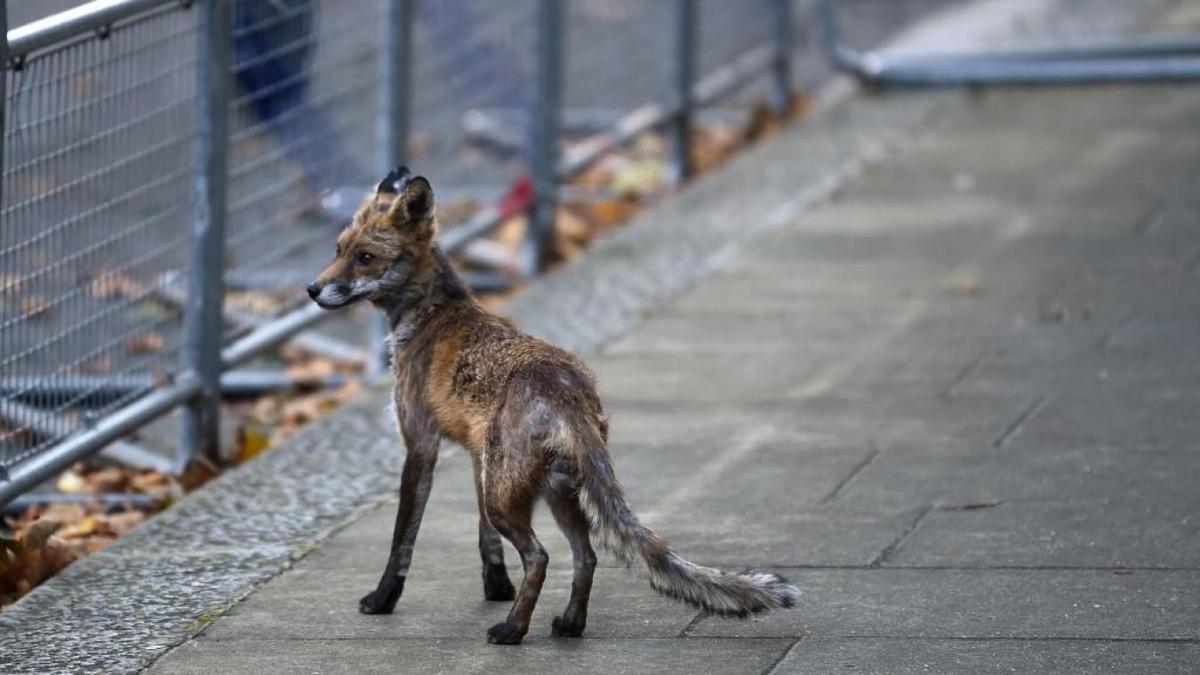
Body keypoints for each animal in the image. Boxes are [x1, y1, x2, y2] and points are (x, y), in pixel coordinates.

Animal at [307, 166, 799, 644]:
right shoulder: (475, 455)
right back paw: (569, 624)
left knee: (541, 556)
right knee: (586, 556)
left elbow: (402, 540)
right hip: (550, 490)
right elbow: (486, 540)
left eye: (365, 257)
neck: (432, 315)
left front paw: (383, 598)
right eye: (337, 249)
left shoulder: (420, 446)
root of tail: (564, 390)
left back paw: (512, 631)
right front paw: (496, 587)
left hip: (509, 495)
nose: (313, 288)